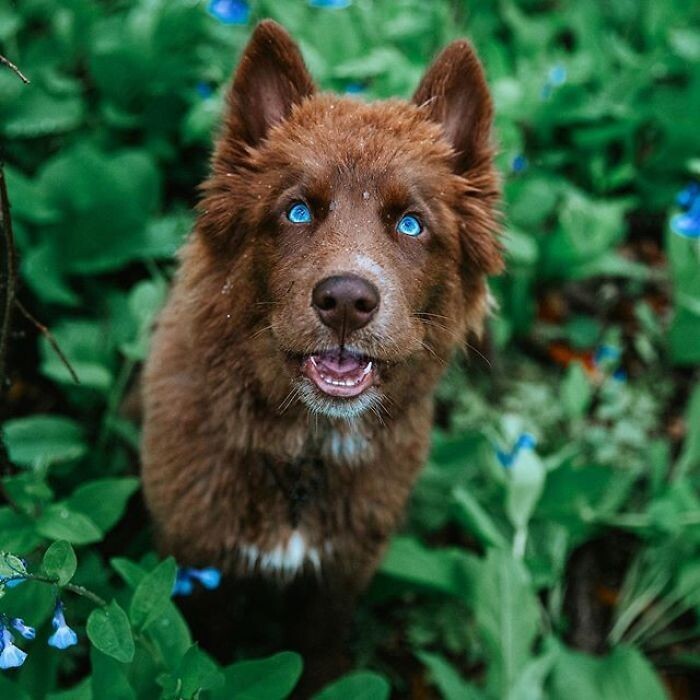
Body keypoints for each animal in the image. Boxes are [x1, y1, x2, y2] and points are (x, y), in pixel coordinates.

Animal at [141, 19, 504, 692]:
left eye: (411, 224)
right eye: (297, 210)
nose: (345, 302)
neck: (304, 454)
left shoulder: (340, 577)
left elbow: (319, 652)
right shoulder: (199, 570)